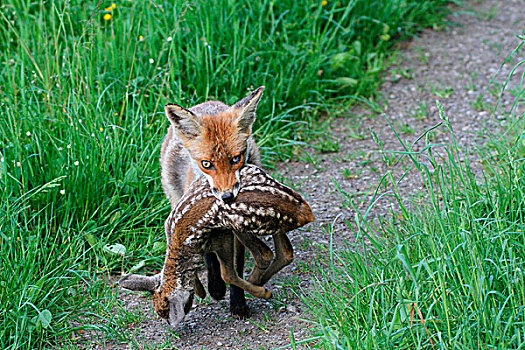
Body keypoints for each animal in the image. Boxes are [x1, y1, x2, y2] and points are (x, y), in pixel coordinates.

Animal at [159, 85, 266, 318]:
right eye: (206, 164)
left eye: (236, 159)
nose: (227, 197)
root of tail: (206, 103)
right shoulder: (196, 220)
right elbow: (209, 257)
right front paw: (216, 287)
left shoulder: (237, 229)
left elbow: (236, 267)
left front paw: (238, 302)